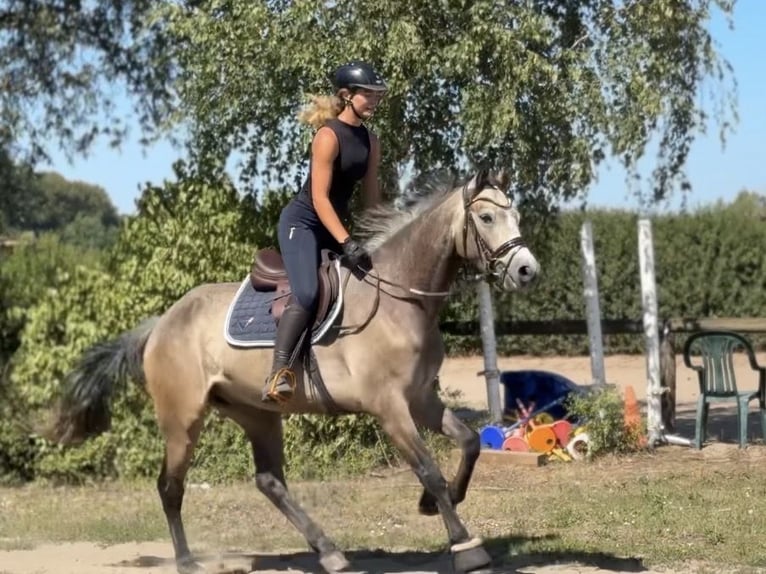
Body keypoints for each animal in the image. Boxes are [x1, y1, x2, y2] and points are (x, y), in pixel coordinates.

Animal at [51, 168, 540, 574]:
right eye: (485, 217)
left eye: (514, 213)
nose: (527, 270)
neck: (399, 299)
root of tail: (161, 323)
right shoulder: (389, 408)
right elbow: (428, 469)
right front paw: (464, 544)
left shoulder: (420, 399)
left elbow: (469, 442)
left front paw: (438, 504)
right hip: (182, 419)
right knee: (170, 487)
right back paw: (188, 562)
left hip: (256, 413)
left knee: (269, 481)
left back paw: (329, 551)